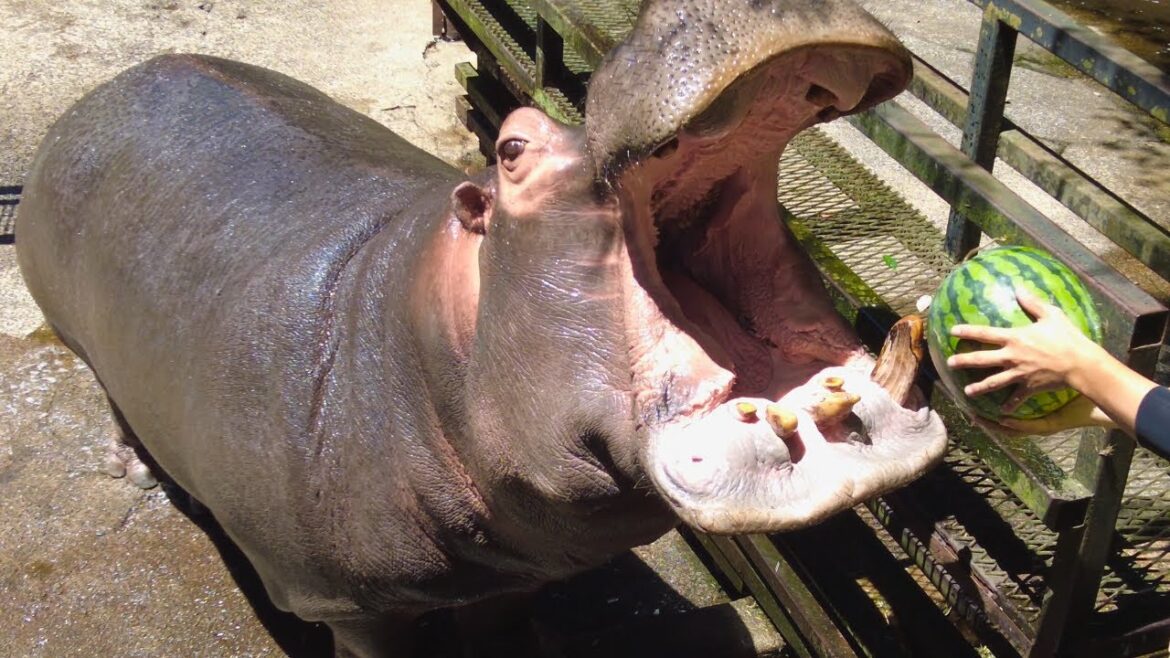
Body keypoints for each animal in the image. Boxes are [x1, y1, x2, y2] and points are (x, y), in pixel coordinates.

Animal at [16, 0, 947, 654]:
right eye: (512, 147)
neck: (422, 339)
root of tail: (110, 88)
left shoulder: (519, 564)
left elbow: (503, 623)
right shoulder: (346, 607)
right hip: (79, 340)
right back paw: (132, 465)